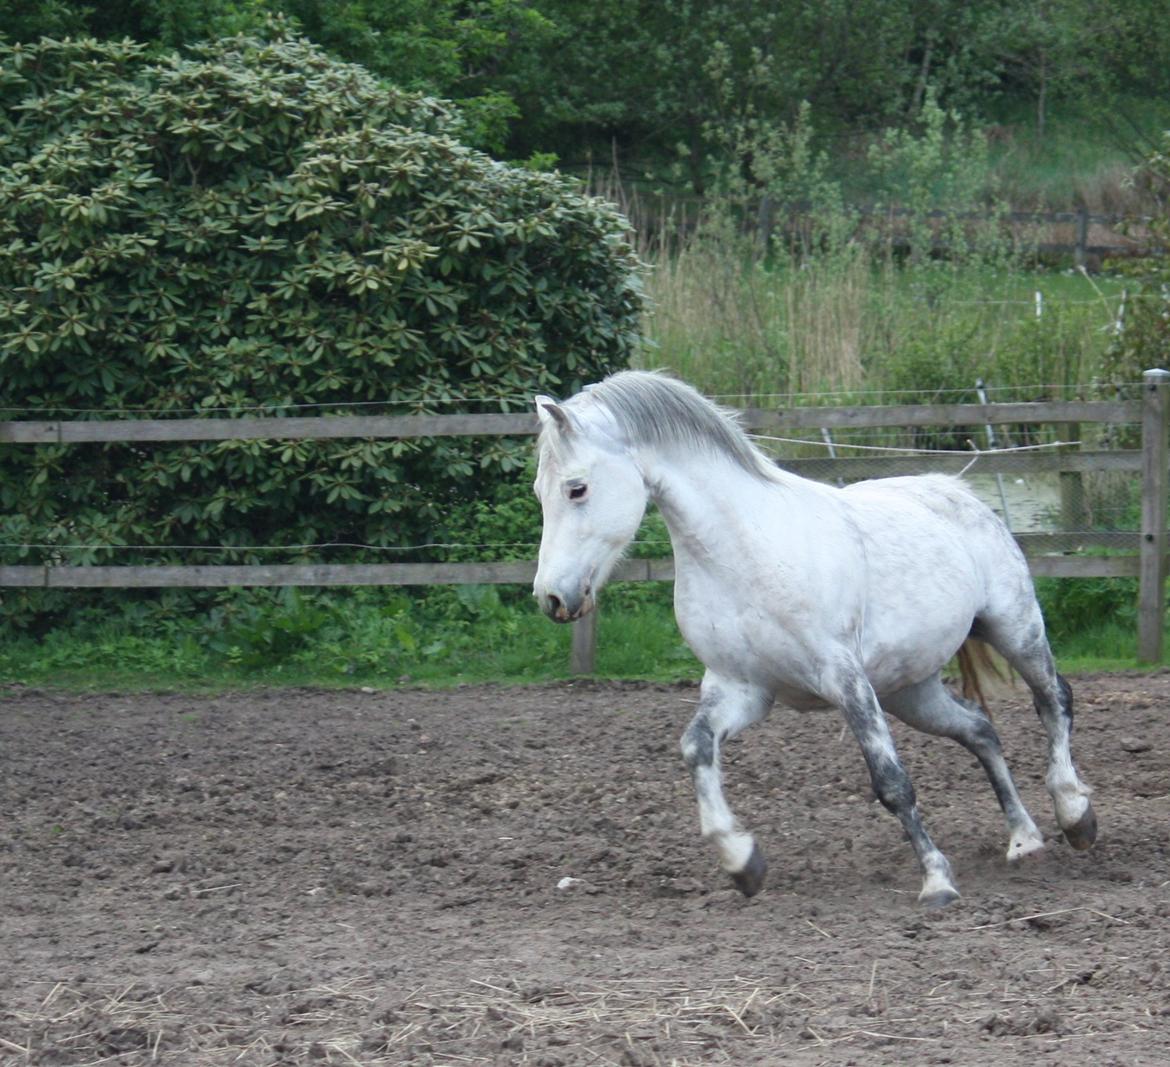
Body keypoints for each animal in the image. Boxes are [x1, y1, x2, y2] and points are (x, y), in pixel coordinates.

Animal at [531, 372, 1095, 903]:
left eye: (576, 488)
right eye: (540, 492)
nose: (552, 598)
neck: (744, 554)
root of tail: (959, 493)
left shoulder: (845, 680)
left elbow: (892, 784)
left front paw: (937, 882)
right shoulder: (740, 688)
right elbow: (696, 748)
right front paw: (743, 862)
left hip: (1014, 628)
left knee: (1054, 701)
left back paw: (1075, 814)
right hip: (911, 691)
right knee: (980, 730)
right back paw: (1023, 839)